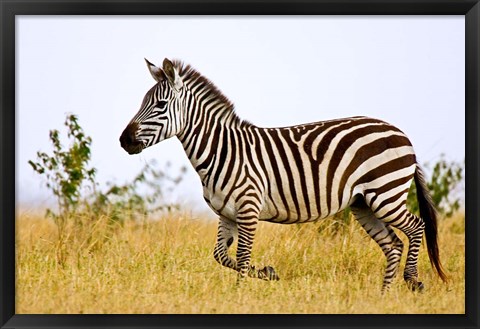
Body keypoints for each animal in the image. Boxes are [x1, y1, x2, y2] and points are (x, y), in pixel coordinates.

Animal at [119, 57, 446, 290]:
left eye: (160, 105)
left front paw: (239, 295)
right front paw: (267, 273)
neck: (222, 150)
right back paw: (384, 295)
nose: (124, 140)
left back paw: (412, 280)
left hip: (385, 193)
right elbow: (221, 256)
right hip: (363, 203)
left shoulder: (248, 208)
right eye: (143, 103)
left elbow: (241, 256)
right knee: (393, 245)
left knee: (416, 227)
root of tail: (400, 133)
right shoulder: (226, 214)